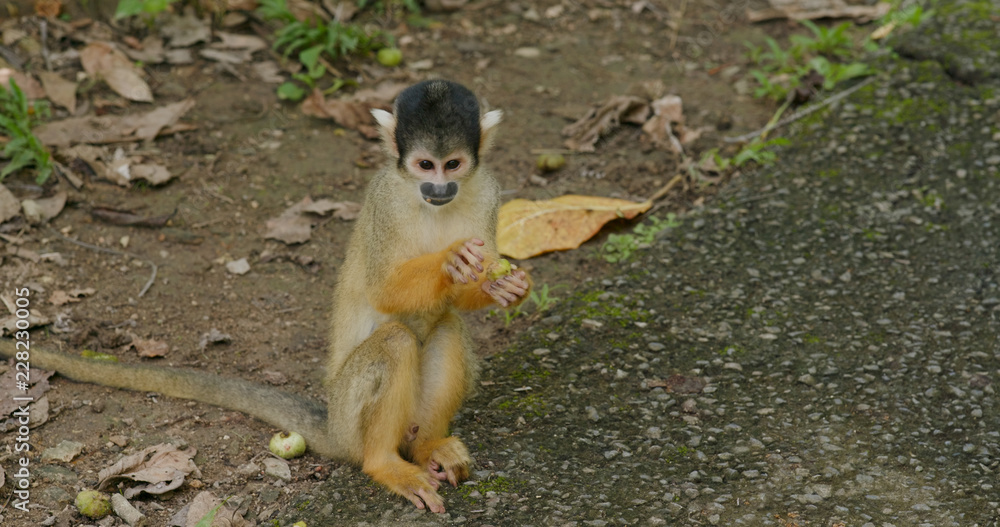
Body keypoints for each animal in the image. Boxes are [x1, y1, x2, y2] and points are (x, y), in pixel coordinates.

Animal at [0, 80, 531, 514]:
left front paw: (504, 285)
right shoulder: (385, 197)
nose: (439, 187)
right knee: (398, 341)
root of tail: (331, 426)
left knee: (445, 327)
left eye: (452, 164)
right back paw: (385, 464)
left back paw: (427, 448)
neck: (427, 201)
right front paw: (450, 262)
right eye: (424, 165)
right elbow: (383, 288)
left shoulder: (487, 188)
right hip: (349, 417)